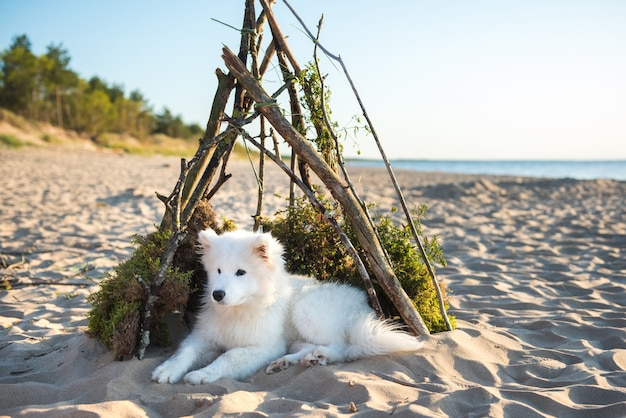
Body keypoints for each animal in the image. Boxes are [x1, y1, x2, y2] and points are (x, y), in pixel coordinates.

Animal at [152, 229, 422, 386]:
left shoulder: (263, 346)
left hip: (306, 309)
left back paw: (320, 356)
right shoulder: (204, 336)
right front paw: (167, 370)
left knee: (343, 347)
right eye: (218, 270)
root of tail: (362, 304)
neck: (241, 309)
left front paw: (202, 375)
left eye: (240, 272)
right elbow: (184, 352)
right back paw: (289, 361)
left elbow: (229, 357)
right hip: (295, 334)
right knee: (306, 347)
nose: (217, 294)